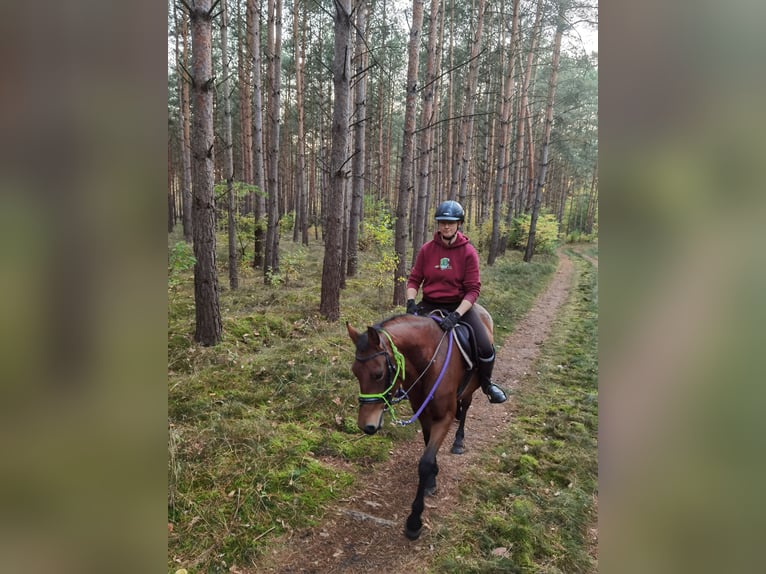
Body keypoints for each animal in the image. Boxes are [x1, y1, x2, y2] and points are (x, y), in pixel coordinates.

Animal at [346, 304, 496, 544]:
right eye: (355, 373)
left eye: (378, 374)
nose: (365, 425)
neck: (430, 361)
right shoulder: (424, 414)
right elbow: (427, 446)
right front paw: (432, 479)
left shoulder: (443, 418)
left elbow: (424, 462)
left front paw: (414, 521)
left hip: (471, 389)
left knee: (465, 410)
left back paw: (459, 441)